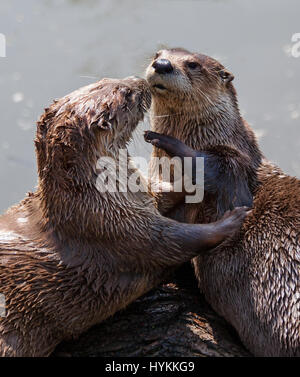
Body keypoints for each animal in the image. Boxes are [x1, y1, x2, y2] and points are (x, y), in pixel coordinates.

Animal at [0, 76, 248, 356]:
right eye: (128, 94)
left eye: (106, 79)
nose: (141, 81)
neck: (89, 200)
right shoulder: (114, 227)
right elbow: (175, 241)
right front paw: (231, 221)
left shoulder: (139, 198)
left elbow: (162, 191)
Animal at [145, 48, 300, 356]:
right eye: (158, 53)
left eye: (192, 64)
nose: (162, 64)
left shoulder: (237, 170)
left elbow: (220, 165)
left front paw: (170, 143)